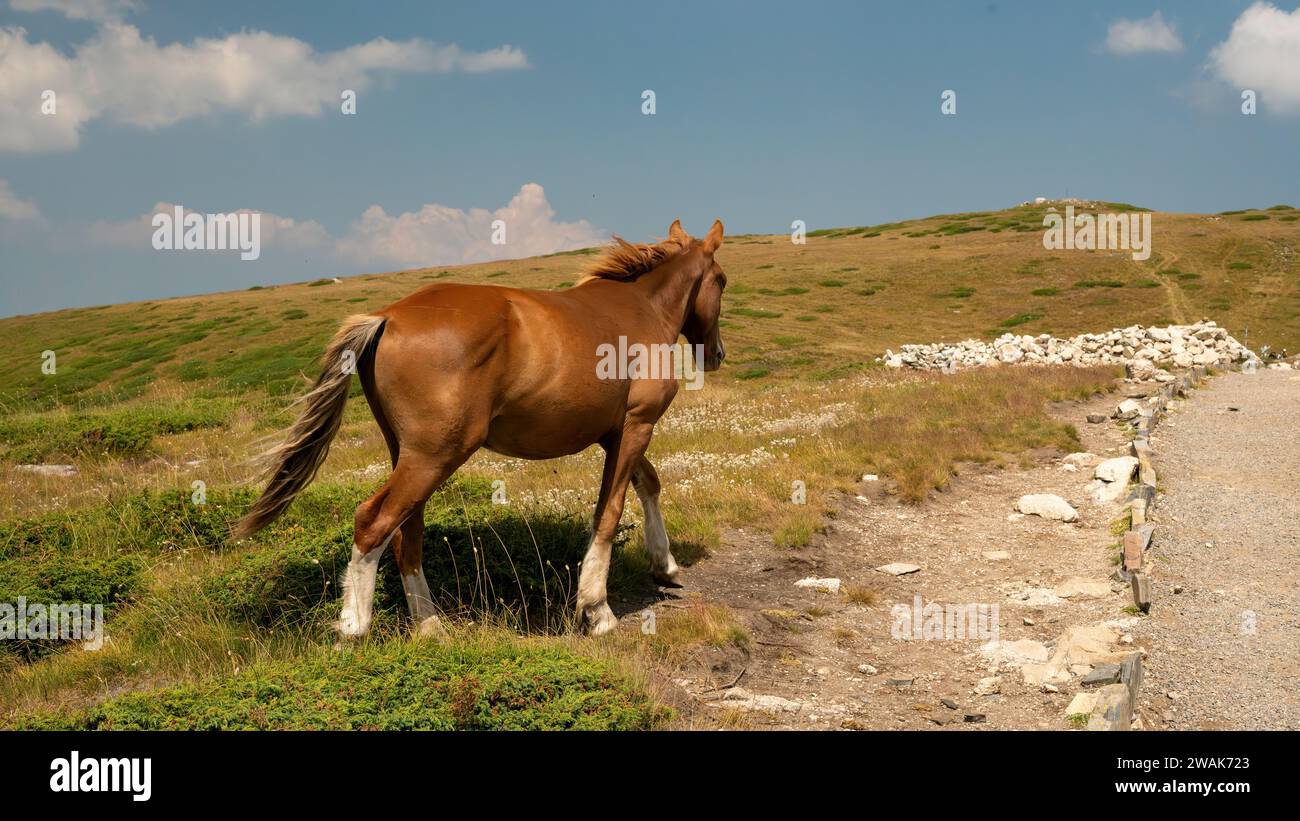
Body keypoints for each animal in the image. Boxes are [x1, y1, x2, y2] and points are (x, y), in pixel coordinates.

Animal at [230, 220, 728, 639]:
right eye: (722, 280)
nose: (716, 354)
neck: (639, 309)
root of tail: (387, 317)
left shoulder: (617, 432)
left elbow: (649, 483)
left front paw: (665, 563)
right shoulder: (637, 425)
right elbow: (609, 512)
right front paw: (597, 609)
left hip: (410, 455)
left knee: (406, 532)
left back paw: (429, 626)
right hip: (436, 454)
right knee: (373, 522)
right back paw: (354, 627)